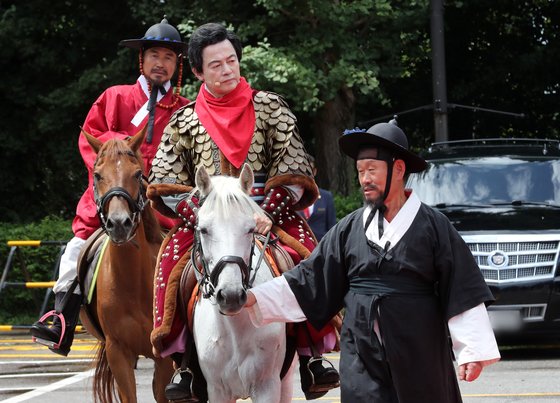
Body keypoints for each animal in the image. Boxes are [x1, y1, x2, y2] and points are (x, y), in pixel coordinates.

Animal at [79, 130, 173, 403]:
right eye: (98, 175)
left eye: (137, 174)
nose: (119, 223)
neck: (134, 283)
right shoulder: (118, 352)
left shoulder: (164, 357)